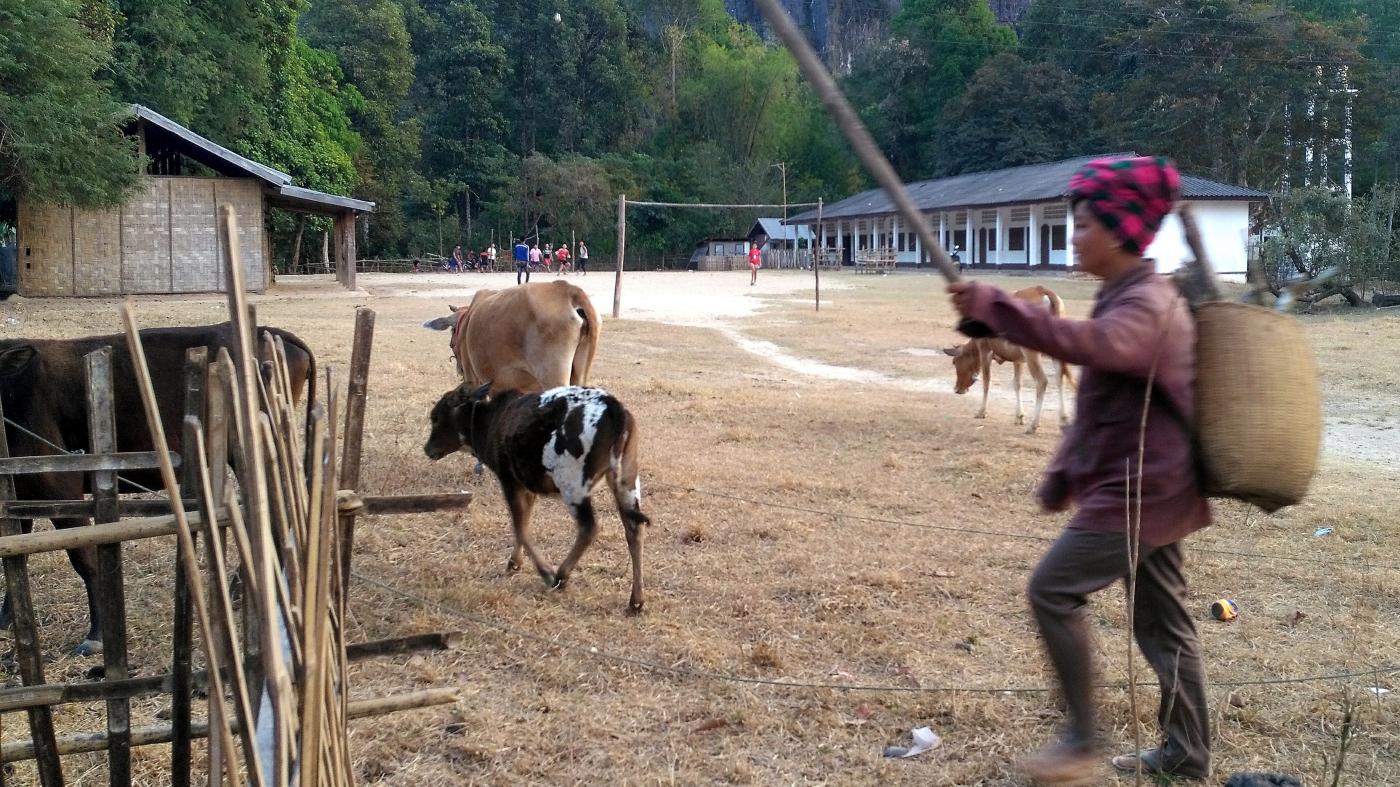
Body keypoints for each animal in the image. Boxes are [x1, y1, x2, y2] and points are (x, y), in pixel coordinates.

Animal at [0, 322, 312, 652]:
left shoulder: (60, 488)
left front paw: (96, 635)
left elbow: (84, 559)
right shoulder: (17, 494)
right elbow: (15, 556)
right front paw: (6, 620)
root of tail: (269, 329)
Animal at [422, 383, 652, 610]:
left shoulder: (509, 481)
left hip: (573, 486)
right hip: (627, 482)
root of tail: (613, 407)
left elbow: (520, 527)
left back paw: (560, 576)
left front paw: (543, 572)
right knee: (634, 531)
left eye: (436, 417)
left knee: (589, 528)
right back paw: (636, 600)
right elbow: (524, 521)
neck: (492, 417)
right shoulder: (527, 487)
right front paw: (514, 562)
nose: (427, 448)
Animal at [946, 287, 1075, 434]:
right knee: (1060, 379)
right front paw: (1019, 416)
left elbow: (986, 381)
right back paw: (1063, 419)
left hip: (1031, 353)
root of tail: (1043, 290)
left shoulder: (985, 350)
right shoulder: (1018, 359)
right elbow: (1017, 384)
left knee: (1042, 381)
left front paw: (982, 412)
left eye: (954, 362)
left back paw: (1034, 425)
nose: (957, 389)